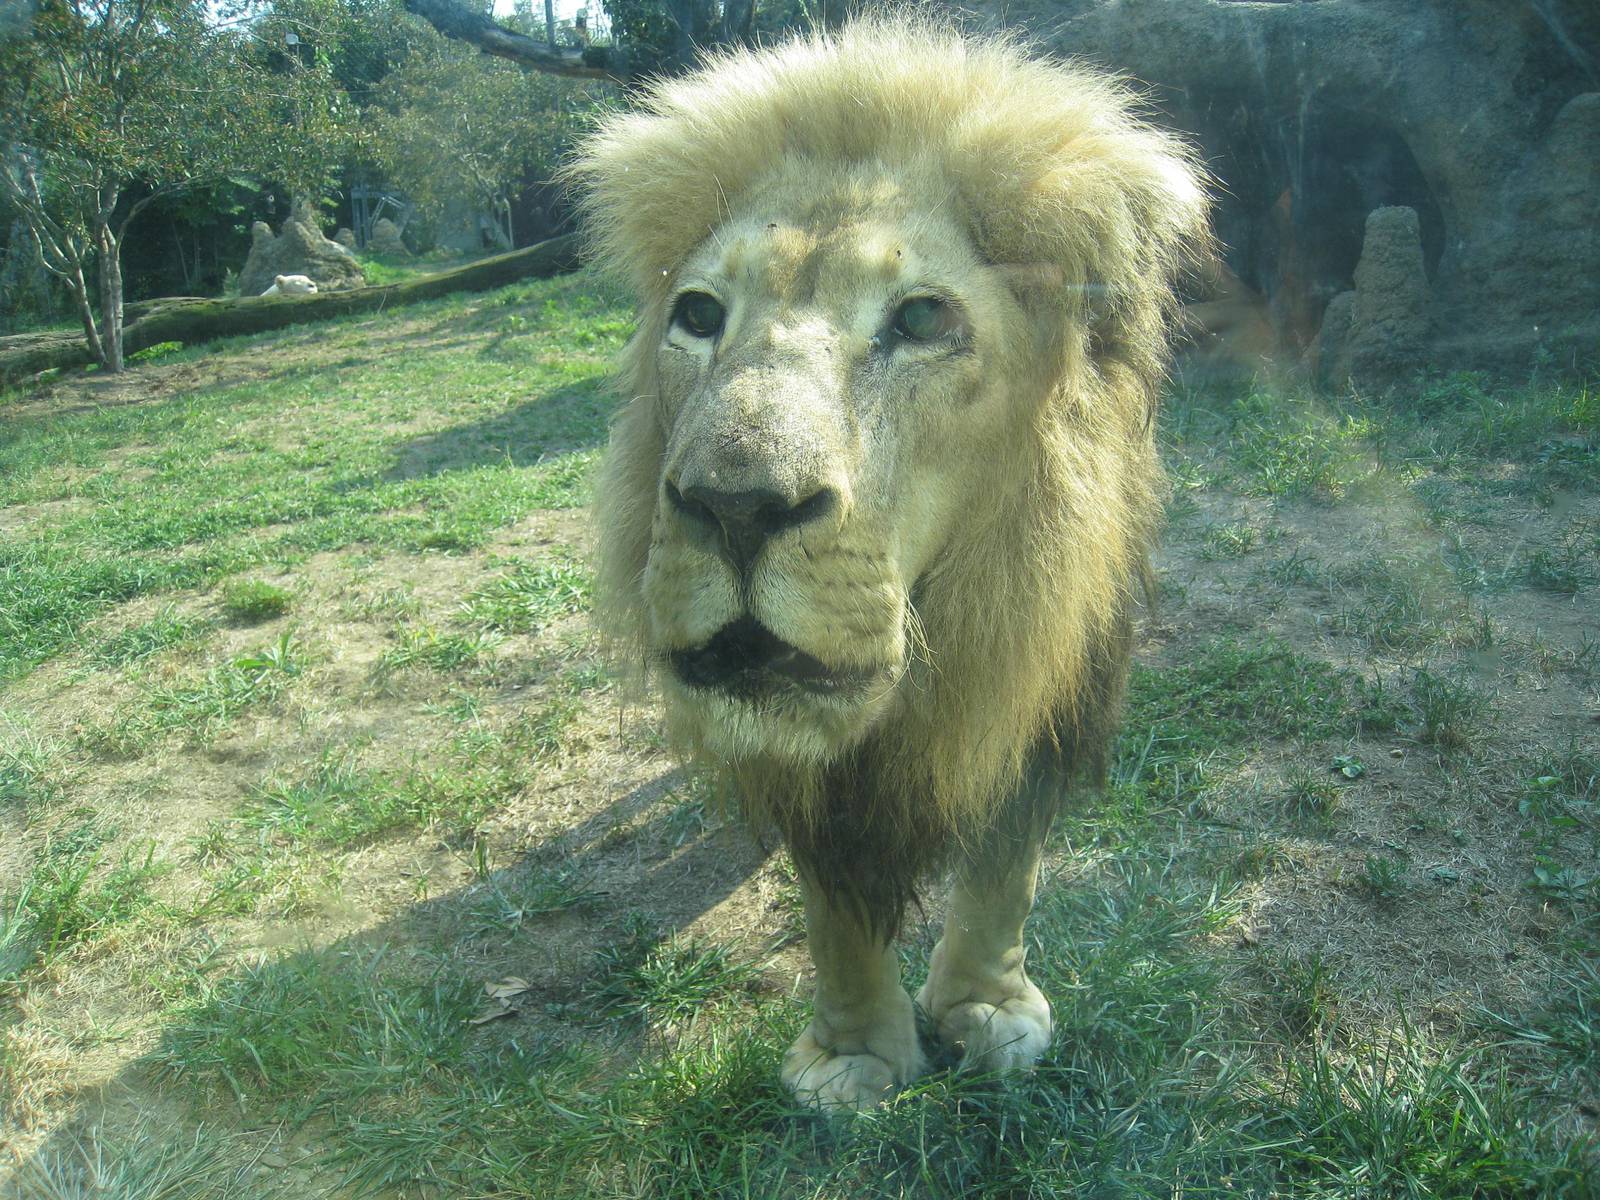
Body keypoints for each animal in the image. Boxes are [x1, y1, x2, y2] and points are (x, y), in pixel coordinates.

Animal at [567, 18, 1210, 1110]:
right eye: (696, 314)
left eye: (919, 320)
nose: (733, 504)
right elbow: (833, 899)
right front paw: (856, 1058)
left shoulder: (1049, 669)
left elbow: (1004, 867)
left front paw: (985, 1011)